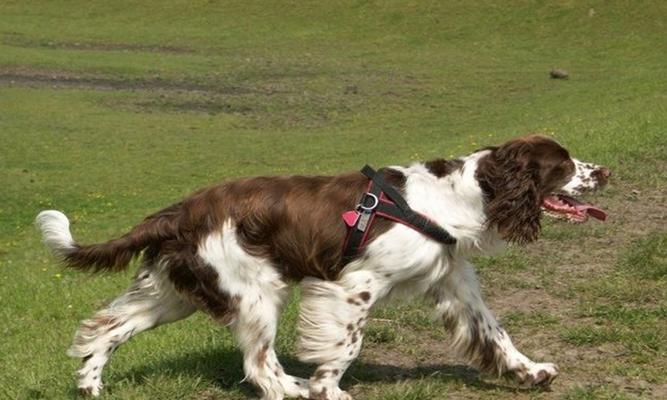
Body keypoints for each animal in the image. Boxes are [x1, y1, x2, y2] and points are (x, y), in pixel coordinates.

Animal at [36, 135, 612, 400]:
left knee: (106, 327)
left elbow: (496, 333)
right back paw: (293, 389)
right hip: (256, 290)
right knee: (260, 365)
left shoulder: (455, 283)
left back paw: (90, 384)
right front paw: (327, 388)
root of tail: (182, 209)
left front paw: (530, 372)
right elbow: (346, 345)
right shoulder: (353, 284)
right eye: (564, 164)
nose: (604, 171)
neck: (455, 198)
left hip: (176, 292)